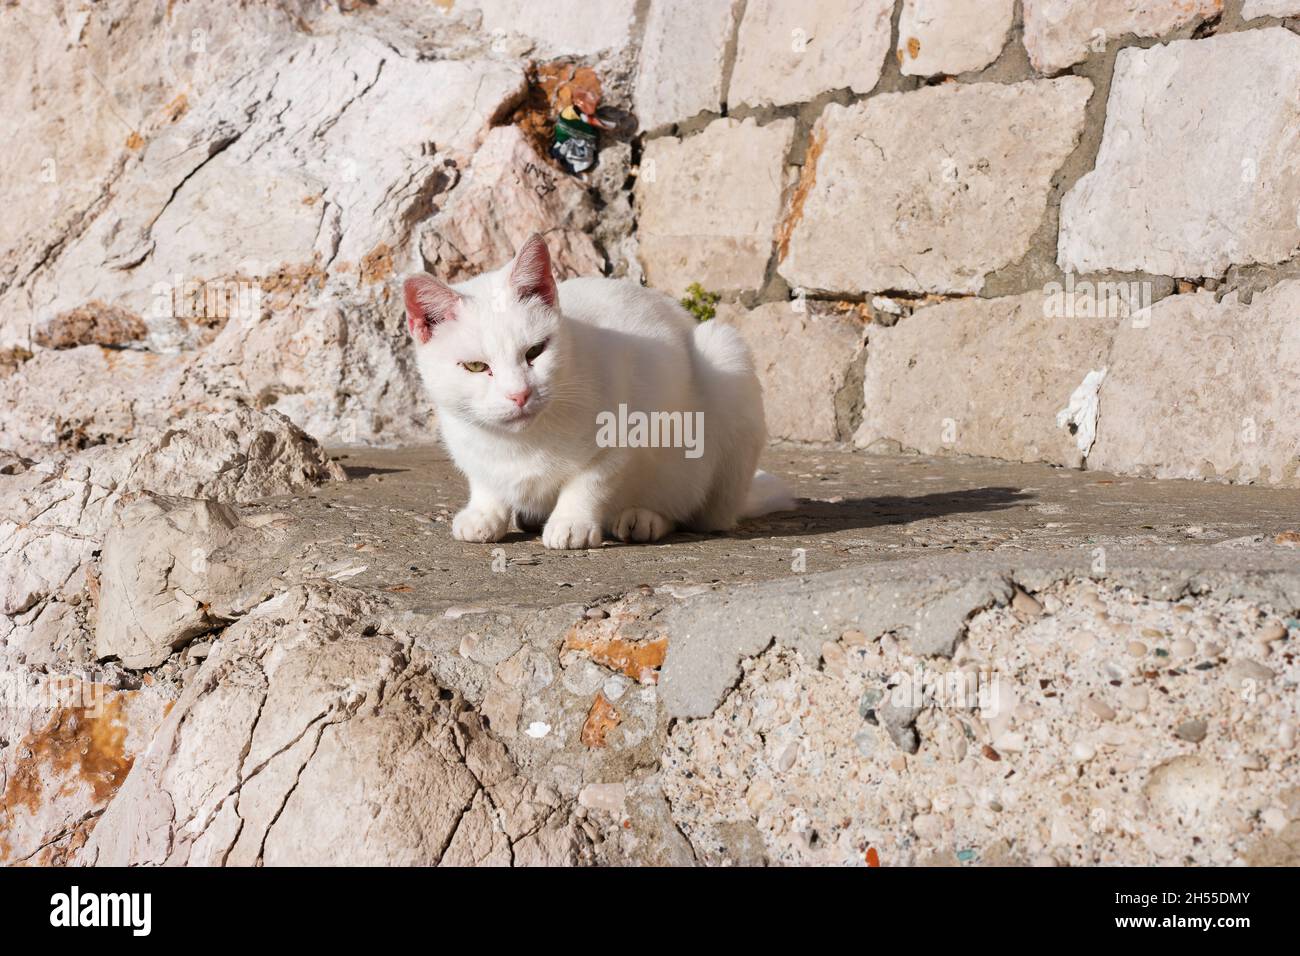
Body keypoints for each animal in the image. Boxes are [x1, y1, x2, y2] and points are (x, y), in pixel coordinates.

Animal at [405, 232, 790, 548]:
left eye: (535, 351)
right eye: (475, 367)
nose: (519, 394)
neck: (519, 443)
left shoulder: (627, 427)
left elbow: (592, 480)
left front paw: (571, 521)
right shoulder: (464, 439)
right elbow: (484, 478)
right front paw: (485, 512)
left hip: (724, 354)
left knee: (697, 513)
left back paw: (644, 517)